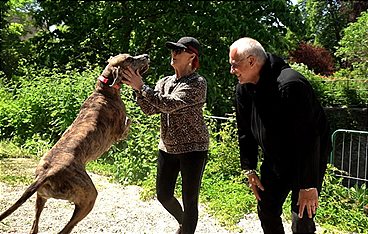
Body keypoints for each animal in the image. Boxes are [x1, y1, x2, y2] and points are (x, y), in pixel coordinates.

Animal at [0, 53, 150, 234]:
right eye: (129, 59)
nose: (146, 55)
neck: (104, 90)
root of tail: (46, 174)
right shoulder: (120, 132)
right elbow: (130, 121)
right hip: (88, 196)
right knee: (65, 229)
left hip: (42, 197)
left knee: (34, 228)